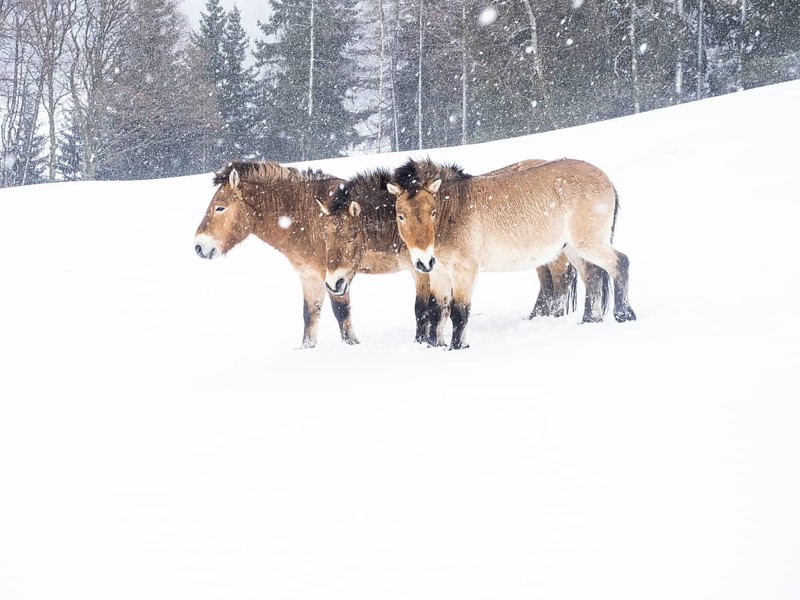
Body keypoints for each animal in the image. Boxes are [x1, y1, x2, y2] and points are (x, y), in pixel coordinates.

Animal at [193, 161, 432, 348]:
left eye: (220, 207)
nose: (198, 246)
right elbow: (309, 317)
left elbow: (342, 315)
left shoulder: (335, 278)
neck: (308, 218)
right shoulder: (310, 278)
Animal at [318, 160, 578, 346]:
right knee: (548, 285)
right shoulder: (434, 270)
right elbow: (438, 309)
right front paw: (436, 342)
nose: (333, 283)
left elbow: (423, 309)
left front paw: (426, 341)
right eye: (325, 238)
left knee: (560, 282)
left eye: (351, 236)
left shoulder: (422, 272)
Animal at [388, 157, 636, 349]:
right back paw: (590, 320)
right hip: (573, 248)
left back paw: (624, 315)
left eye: (432, 212)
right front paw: (435, 346)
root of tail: (605, 178)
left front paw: (458, 347)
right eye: (401, 215)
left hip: (589, 243)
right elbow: (437, 311)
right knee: (592, 276)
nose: (423, 262)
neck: (454, 208)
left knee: (620, 263)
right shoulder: (439, 273)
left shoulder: (464, 271)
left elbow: (460, 312)